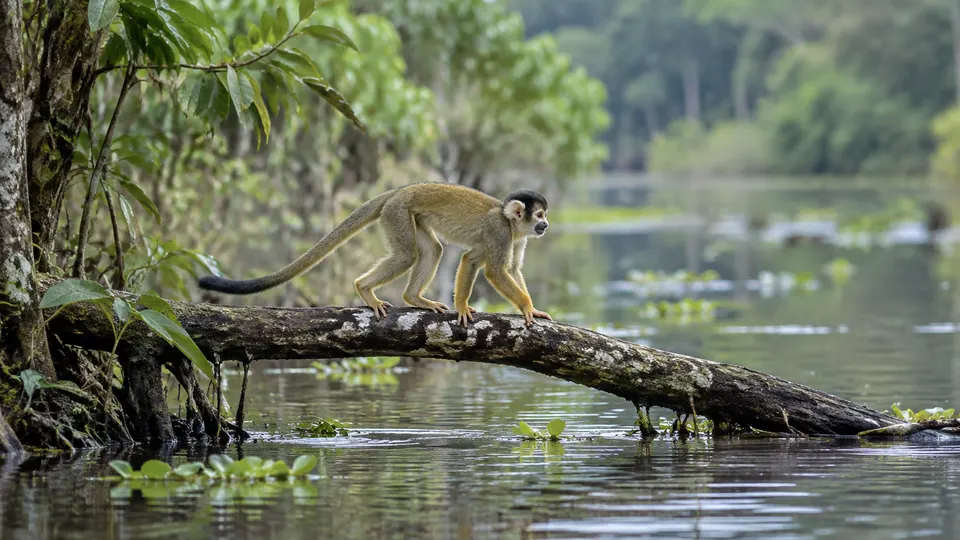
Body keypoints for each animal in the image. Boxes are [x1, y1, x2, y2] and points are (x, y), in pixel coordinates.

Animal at [197, 183, 553, 328]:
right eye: (539, 216)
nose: (546, 225)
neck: (511, 223)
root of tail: (398, 190)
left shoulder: (514, 239)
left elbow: (481, 261)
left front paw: (533, 308)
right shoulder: (499, 232)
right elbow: (493, 270)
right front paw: (524, 306)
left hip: (405, 213)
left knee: (431, 249)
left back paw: (414, 298)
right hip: (397, 213)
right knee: (407, 254)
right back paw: (364, 289)